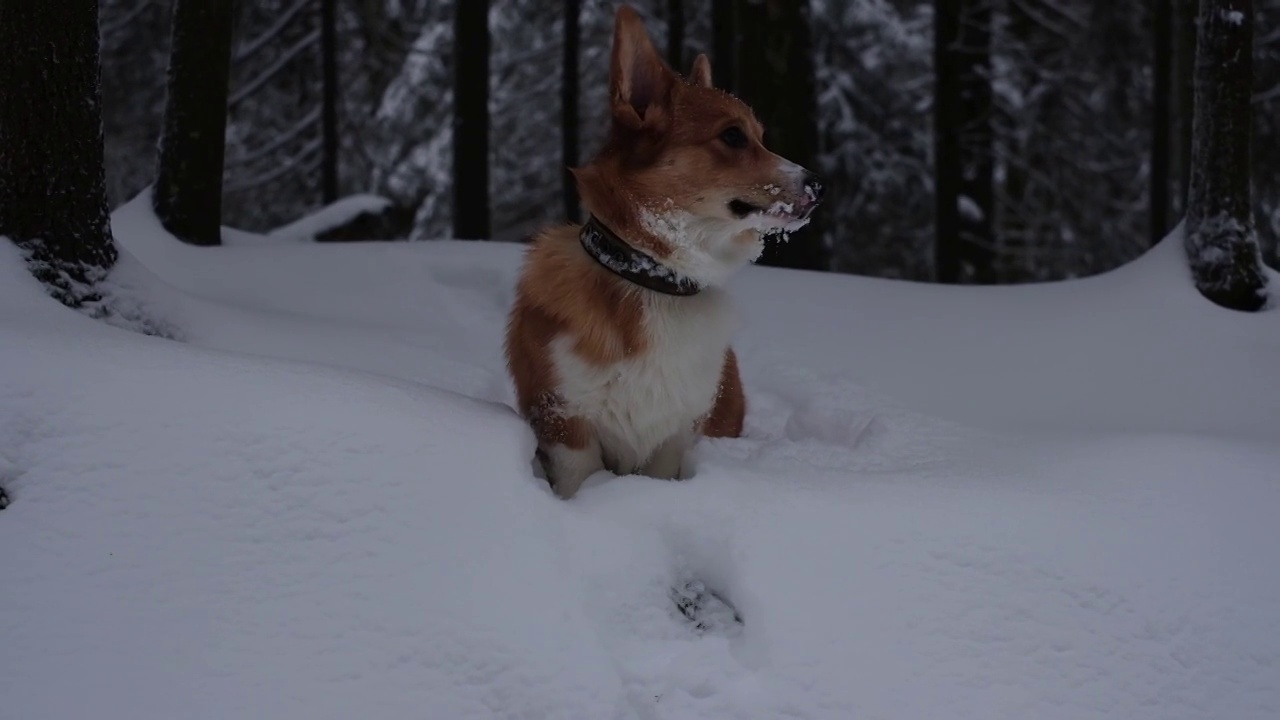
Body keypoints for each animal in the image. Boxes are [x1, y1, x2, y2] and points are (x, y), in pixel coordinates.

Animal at [504, 4, 824, 499]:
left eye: (759, 136)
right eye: (733, 137)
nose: (819, 186)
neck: (654, 279)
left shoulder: (674, 434)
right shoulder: (566, 424)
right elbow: (579, 482)